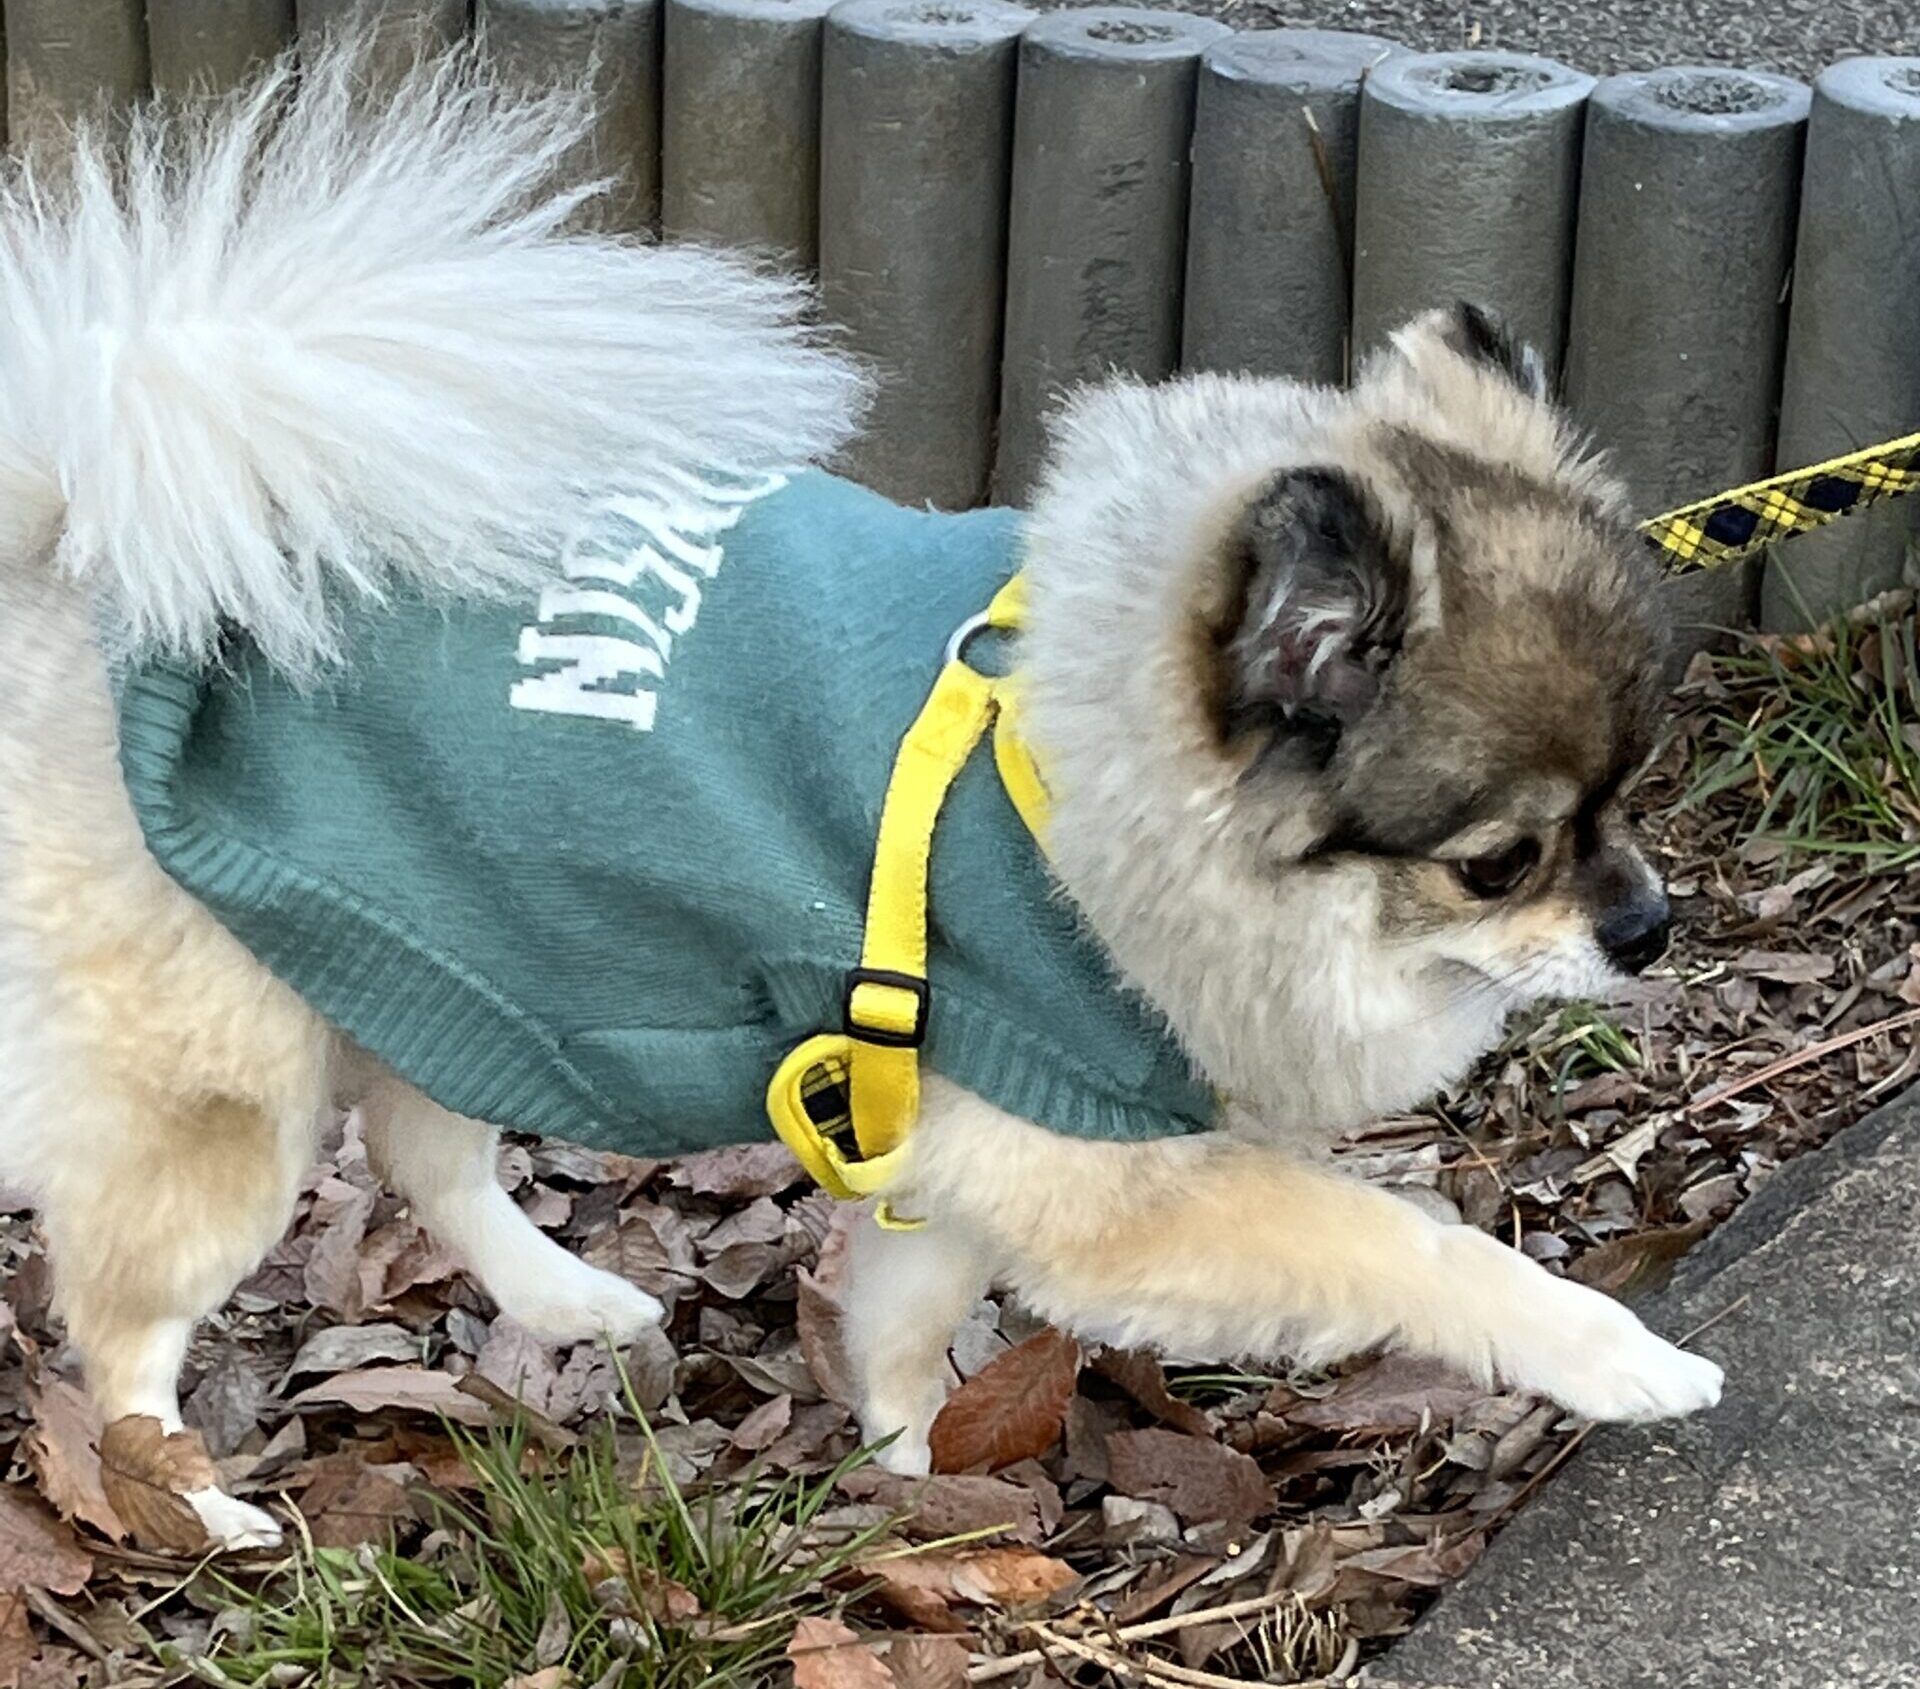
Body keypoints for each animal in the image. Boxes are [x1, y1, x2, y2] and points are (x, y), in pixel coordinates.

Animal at [0, 42, 1720, 1543]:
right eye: (1499, 862)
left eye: (1636, 789)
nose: (1650, 927)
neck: (1060, 770)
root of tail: (85, 554)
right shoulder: (1102, 1161)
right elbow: (1409, 1244)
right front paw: (1619, 1356)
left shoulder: (966, 1134)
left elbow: (907, 1306)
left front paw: (906, 1460)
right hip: (231, 1087)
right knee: (126, 1318)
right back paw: (190, 1505)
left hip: (464, 954)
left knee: (426, 1150)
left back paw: (572, 1298)